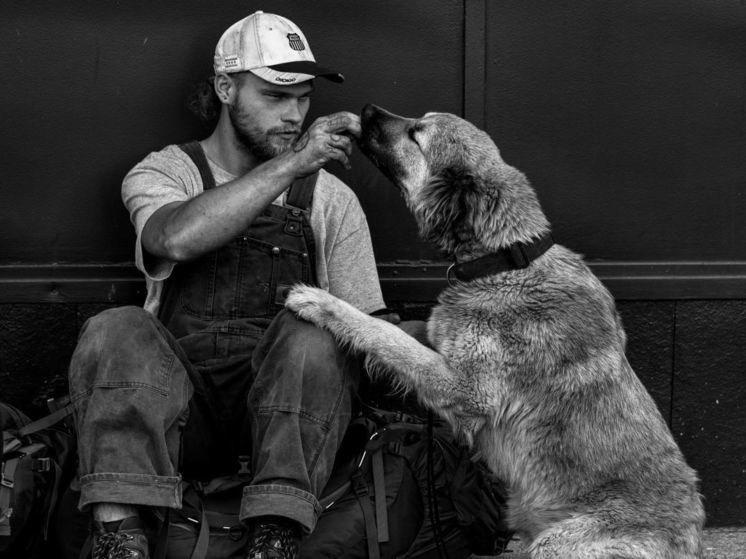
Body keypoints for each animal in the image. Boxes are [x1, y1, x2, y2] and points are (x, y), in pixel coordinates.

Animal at [284, 104, 704, 556]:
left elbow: (385, 335)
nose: (366, 110)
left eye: (417, 134)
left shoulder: (466, 388)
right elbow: (397, 332)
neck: (506, 261)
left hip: (555, 544)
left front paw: (321, 302)